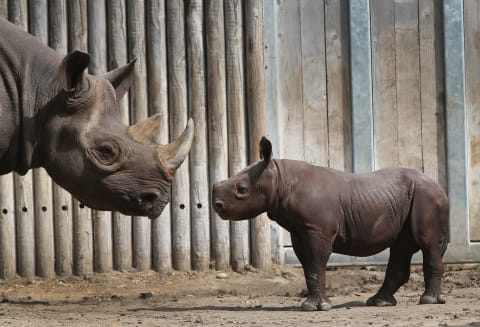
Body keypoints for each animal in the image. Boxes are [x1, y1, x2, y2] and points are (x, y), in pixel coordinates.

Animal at [212, 137, 448, 312]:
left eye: (241, 190)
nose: (216, 205)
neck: (281, 178)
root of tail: (440, 187)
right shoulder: (300, 230)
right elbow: (308, 266)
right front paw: (312, 305)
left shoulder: (317, 229)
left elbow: (317, 262)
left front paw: (316, 307)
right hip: (408, 199)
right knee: (401, 246)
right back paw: (379, 302)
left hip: (427, 197)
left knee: (428, 244)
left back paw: (427, 301)